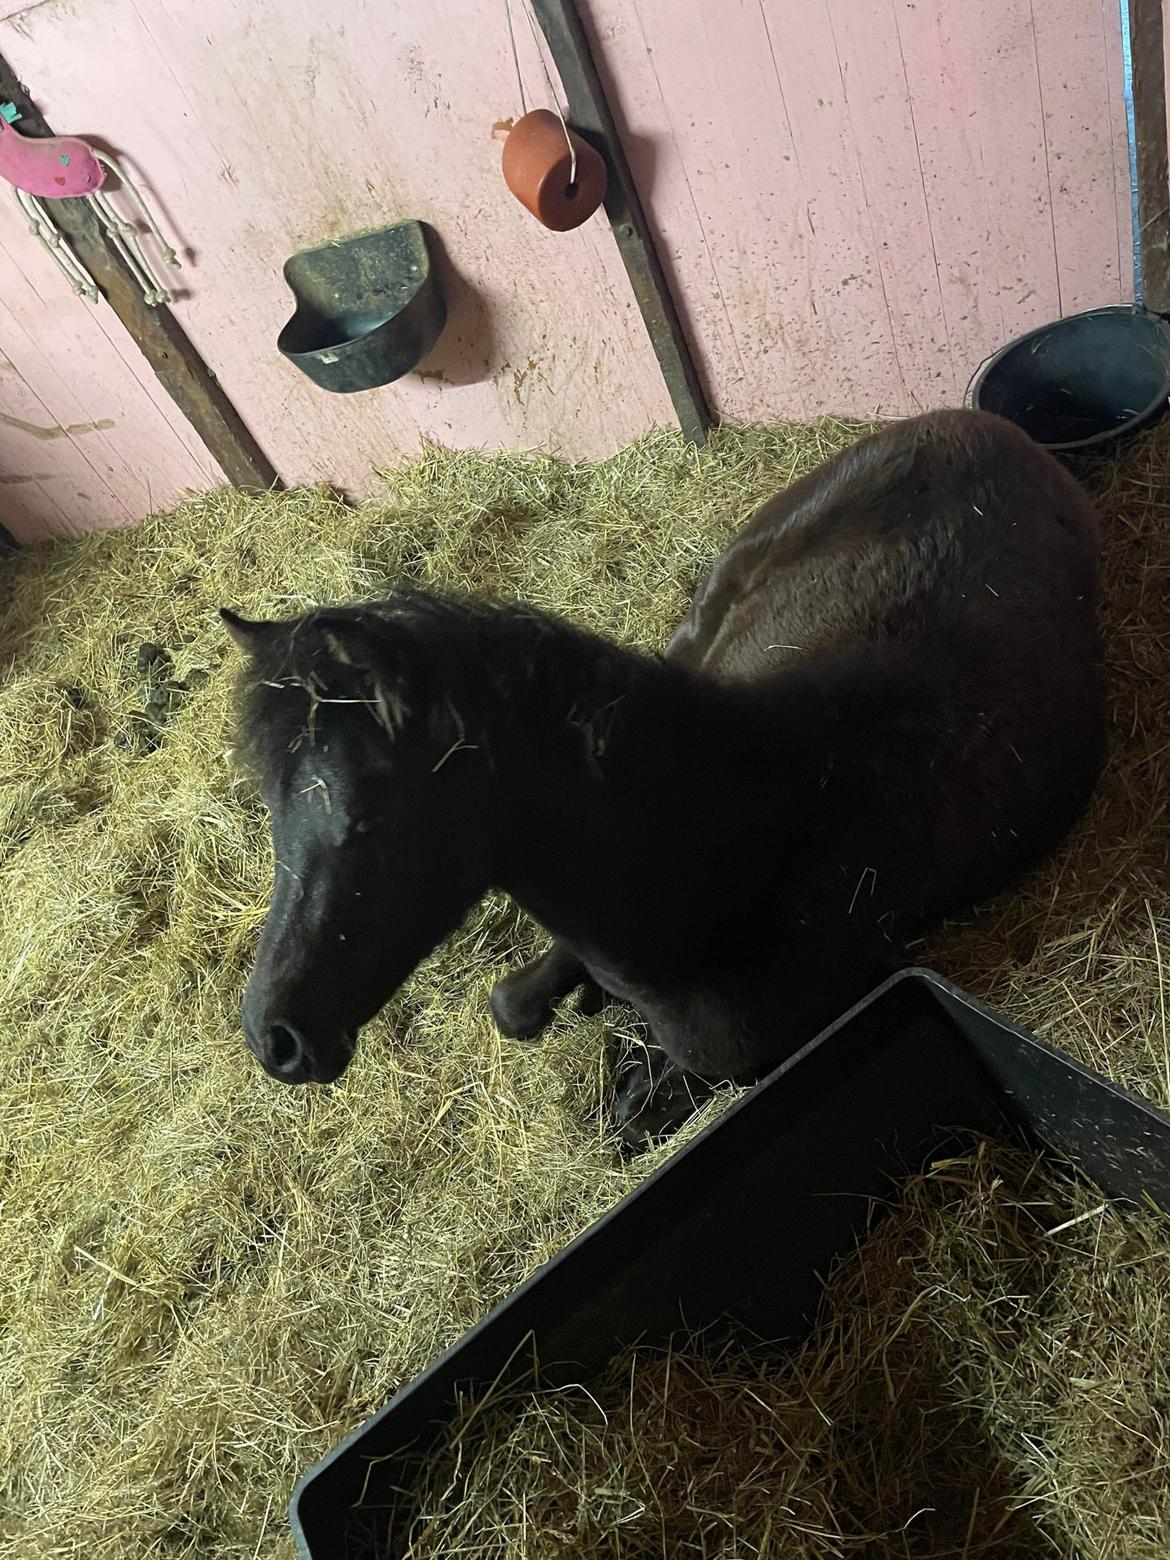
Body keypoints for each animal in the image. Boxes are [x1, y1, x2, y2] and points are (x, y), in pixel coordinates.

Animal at [223, 409, 1104, 1151]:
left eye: (368, 818)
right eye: (271, 812)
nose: (276, 1039)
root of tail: (986, 425)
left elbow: (635, 1105)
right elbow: (516, 1008)